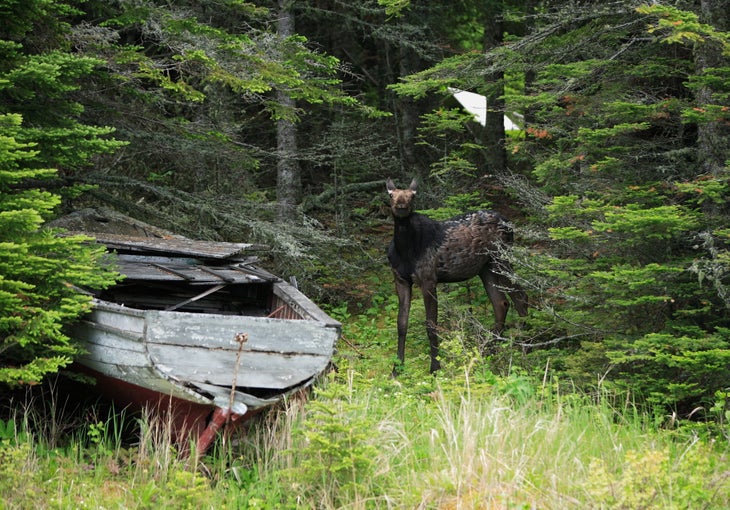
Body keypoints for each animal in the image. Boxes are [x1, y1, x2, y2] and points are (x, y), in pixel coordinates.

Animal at [386, 177, 528, 374]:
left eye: (412, 196)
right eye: (391, 194)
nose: (401, 205)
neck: (404, 250)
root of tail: (510, 224)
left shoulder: (428, 279)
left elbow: (431, 325)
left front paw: (435, 367)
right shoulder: (400, 279)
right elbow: (401, 324)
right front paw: (396, 368)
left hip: (501, 258)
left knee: (521, 296)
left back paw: (524, 350)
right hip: (486, 267)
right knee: (501, 303)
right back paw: (488, 353)